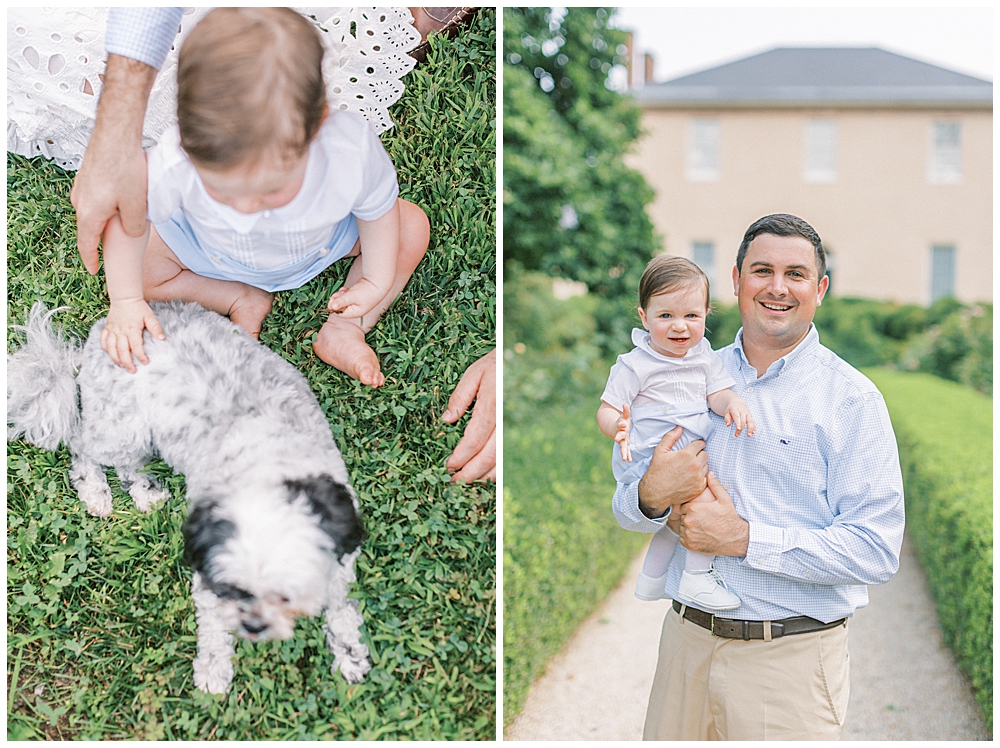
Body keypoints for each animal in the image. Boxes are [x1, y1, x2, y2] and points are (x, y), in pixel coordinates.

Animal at [7, 300, 372, 696]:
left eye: (284, 596)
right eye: (229, 589)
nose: (252, 627)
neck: (270, 467)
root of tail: (101, 329)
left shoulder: (337, 556)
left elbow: (342, 608)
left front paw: (350, 654)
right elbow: (212, 630)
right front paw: (213, 671)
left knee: (126, 466)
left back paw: (146, 494)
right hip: (122, 428)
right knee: (82, 445)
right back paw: (95, 491)